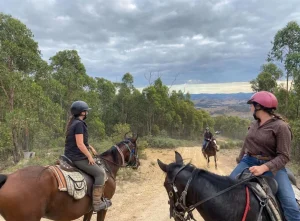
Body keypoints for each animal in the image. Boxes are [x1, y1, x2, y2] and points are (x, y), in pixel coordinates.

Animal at [0, 134, 139, 221]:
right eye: (136, 148)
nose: (137, 163)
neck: (106, 167)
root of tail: (8, 178)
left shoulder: (88, 210)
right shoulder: (103, 208)